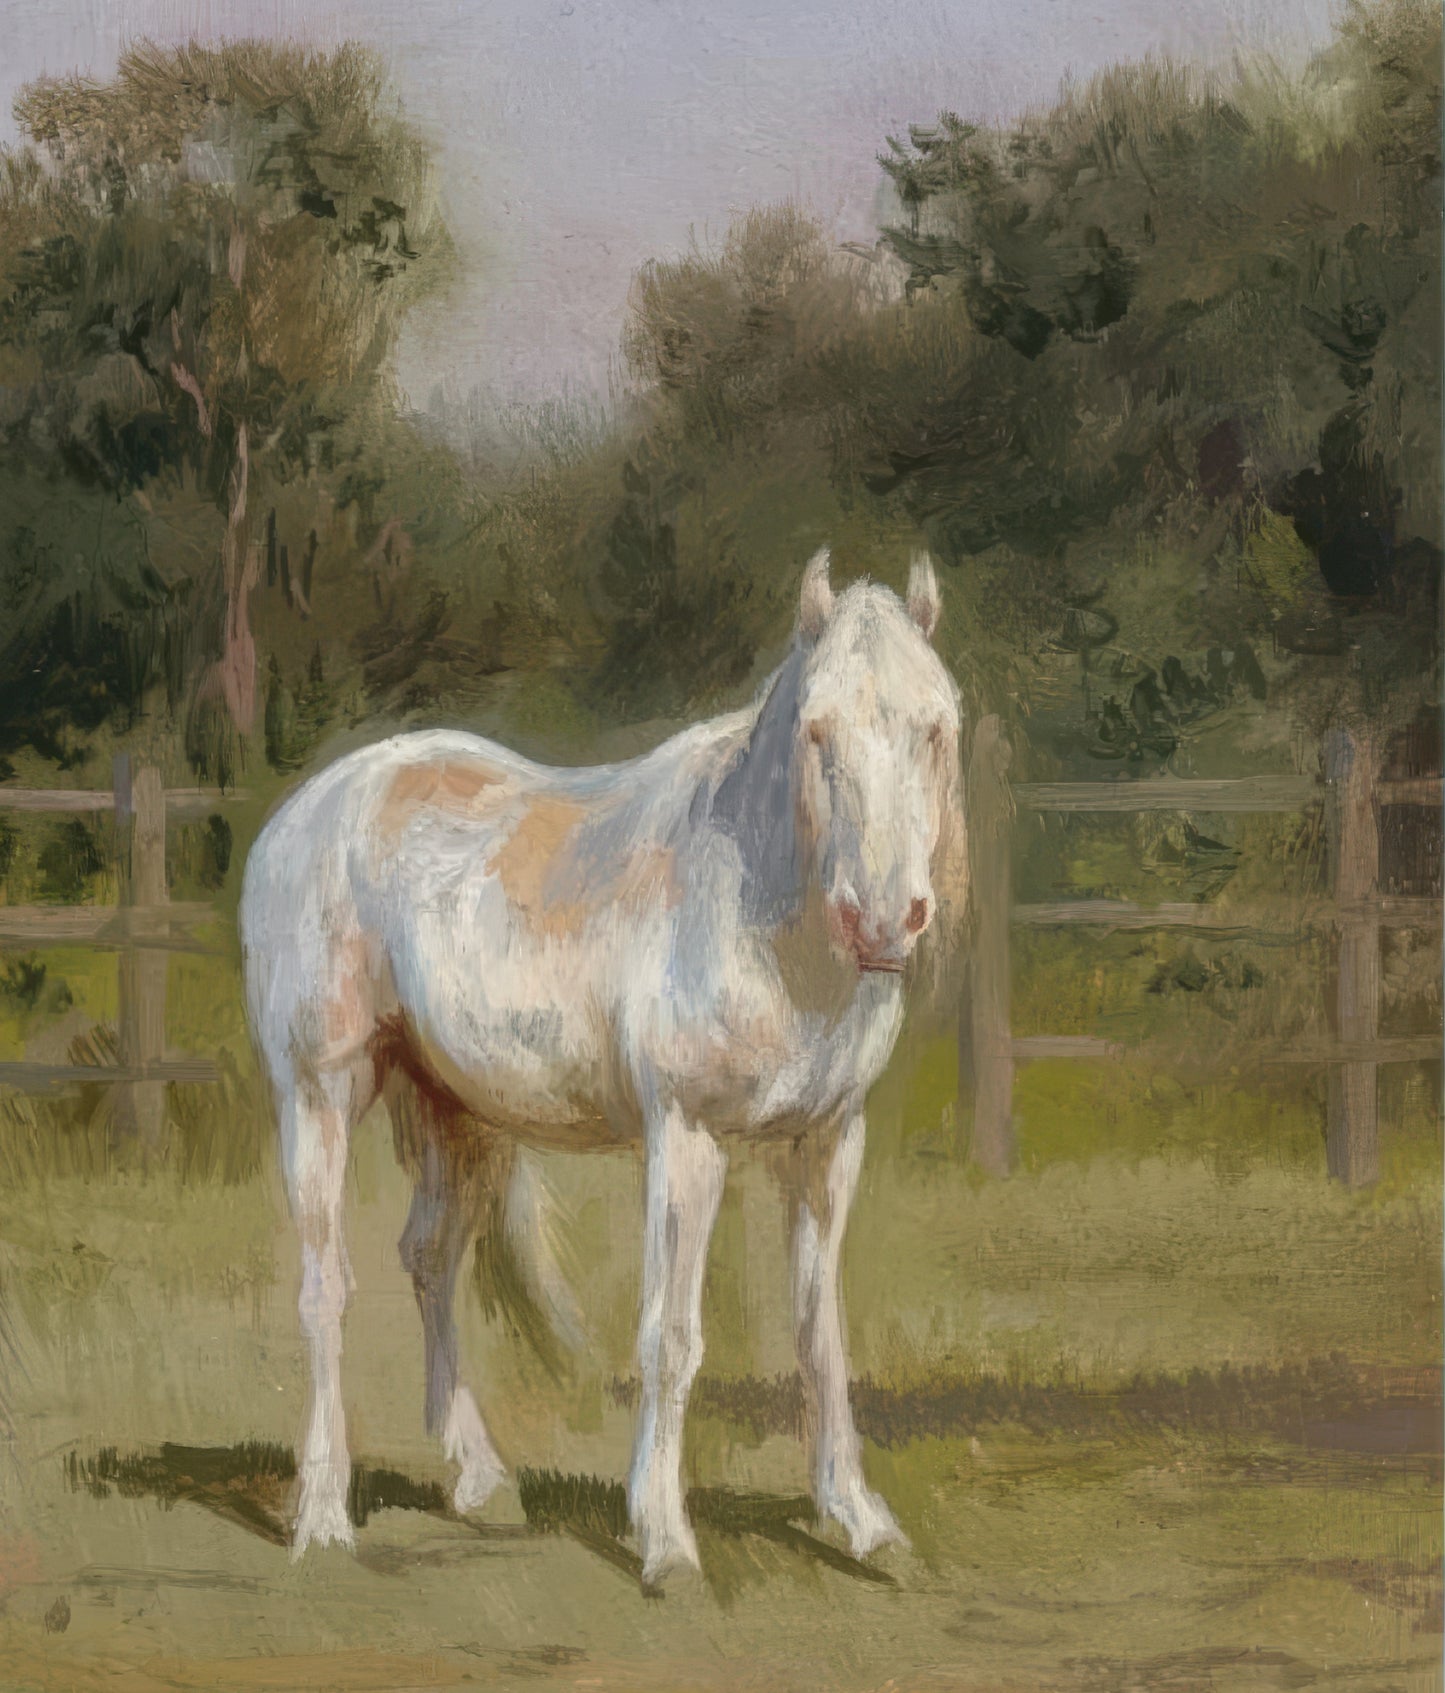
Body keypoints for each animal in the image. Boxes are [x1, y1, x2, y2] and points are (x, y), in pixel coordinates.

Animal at [239, 547, 966, 1584]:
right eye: (818, 729)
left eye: (935, 726)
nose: (882, 919)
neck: (761, 905)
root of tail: (307, 809)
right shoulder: (687, 1138)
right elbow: (671, 1334)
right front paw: (663, 1538)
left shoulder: (828, 1143)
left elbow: (818, 1330)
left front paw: (857, 1518)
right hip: (320, 1093)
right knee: (323, 1287)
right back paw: (323, 1516)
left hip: (455, 1109)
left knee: (429, 1257)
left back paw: (476, 1480)